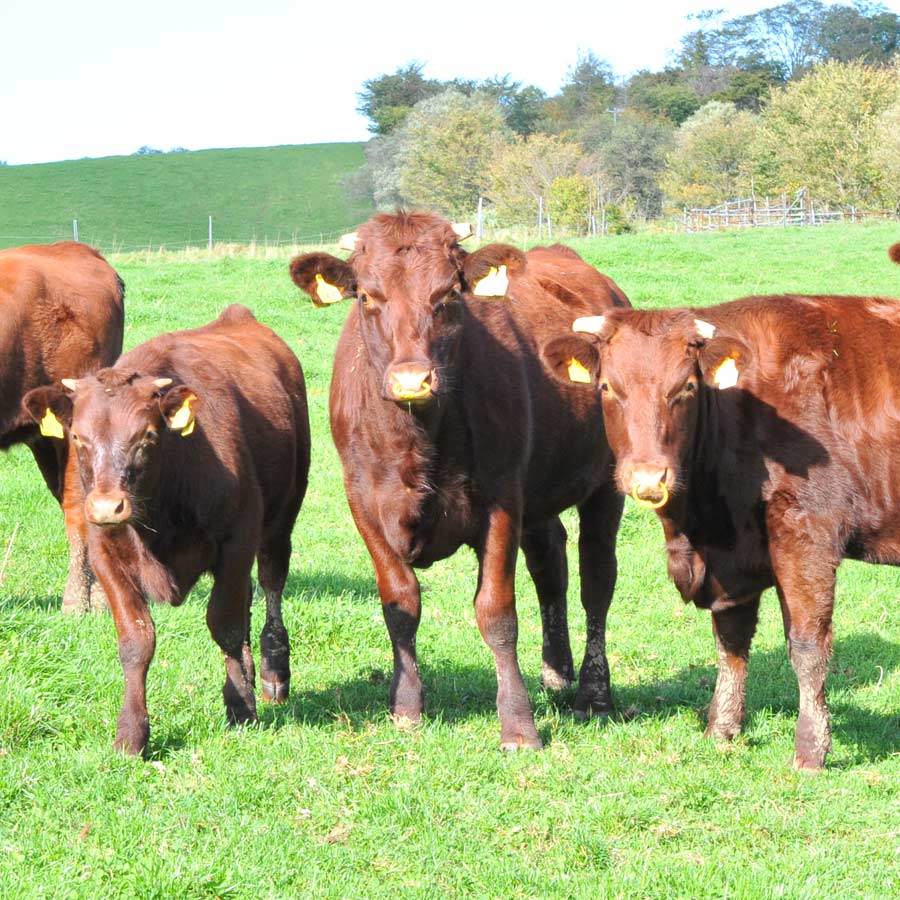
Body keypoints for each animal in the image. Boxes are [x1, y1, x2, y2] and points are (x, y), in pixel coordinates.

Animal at [22, 306, 310, 756]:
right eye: (79, 438)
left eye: (146, 436)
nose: (106, 506)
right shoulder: (104, 554)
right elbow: (137, 640)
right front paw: (131, 733)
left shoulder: (237, 540)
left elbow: (225, 625)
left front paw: (241, 707)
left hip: (281, 520)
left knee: (271, 585)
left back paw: (272, 672)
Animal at [292, 214, 628, 748]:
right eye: (365, 295)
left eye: (449, 294)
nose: (412, 380)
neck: (417, 440)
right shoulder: (362, 502)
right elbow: (400, 604)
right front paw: (406, 707)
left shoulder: (501, 499)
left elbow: (497, 612)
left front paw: (518, 725)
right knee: (550, 566)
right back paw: (556, 673)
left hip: (605, 484)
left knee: (596, 579)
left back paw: (593, 695)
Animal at [544, 244, 900, 768]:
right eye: (607, 387)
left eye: (685, 388)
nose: (648, 478)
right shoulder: (734, 554)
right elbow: (730, 638)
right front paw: (723, 728)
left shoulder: (807, 531)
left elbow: (808, 644)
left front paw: (811, 750)